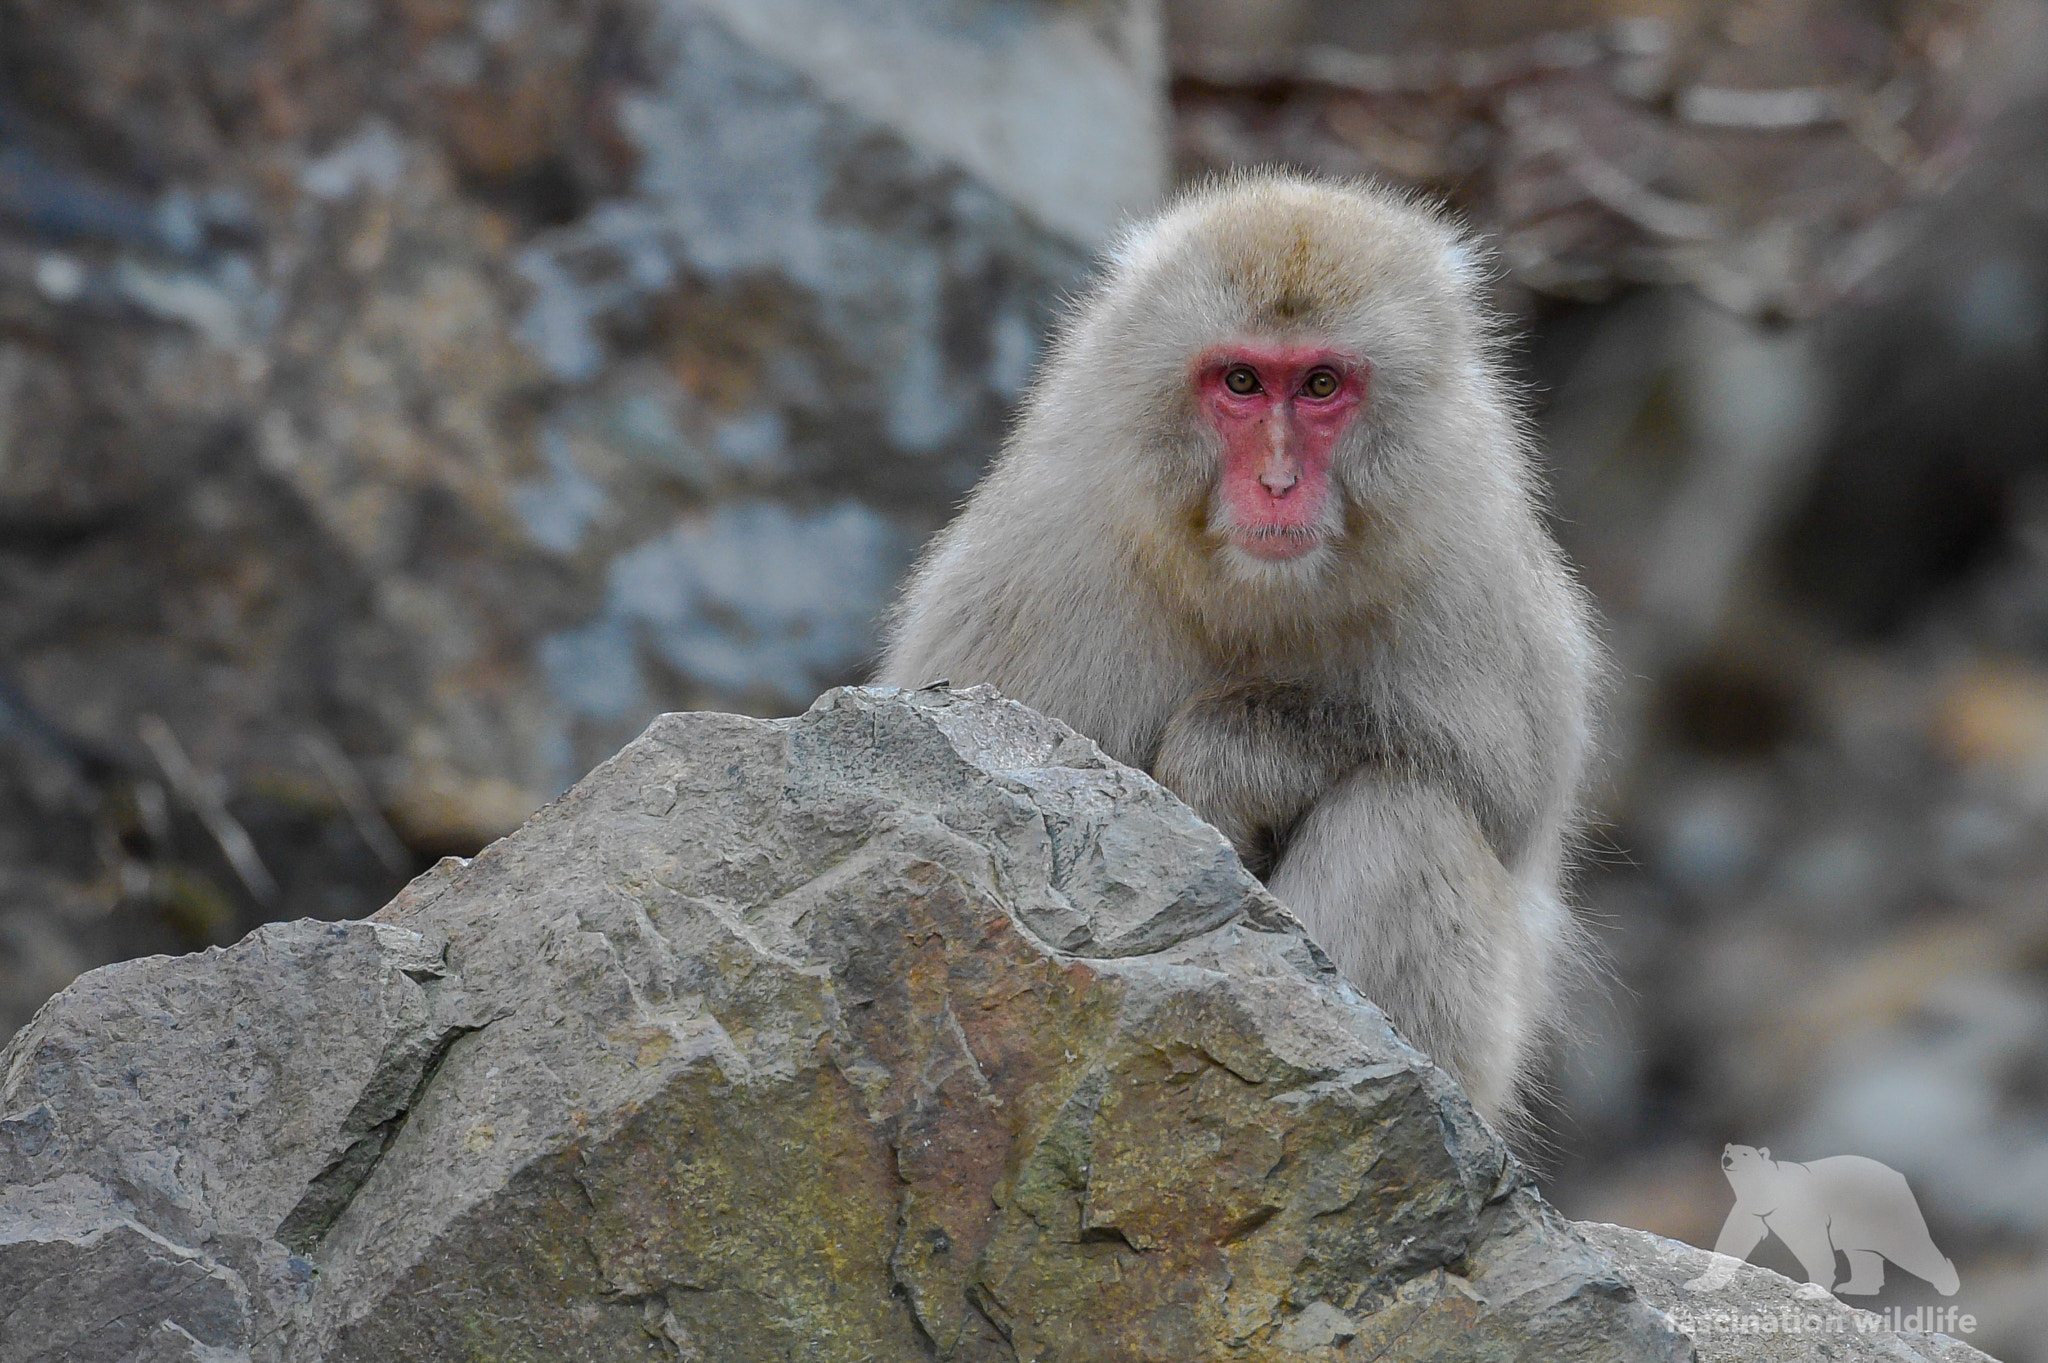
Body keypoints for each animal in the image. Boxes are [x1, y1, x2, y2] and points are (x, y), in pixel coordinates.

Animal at [875, 172, 1598, 1124]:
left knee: (1404, 813)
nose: (1278, 483)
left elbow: (1504, 800)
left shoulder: (1473, 563)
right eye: (1243, 382)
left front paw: (1221, 760)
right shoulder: (1033, 568)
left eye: (1322, 383)